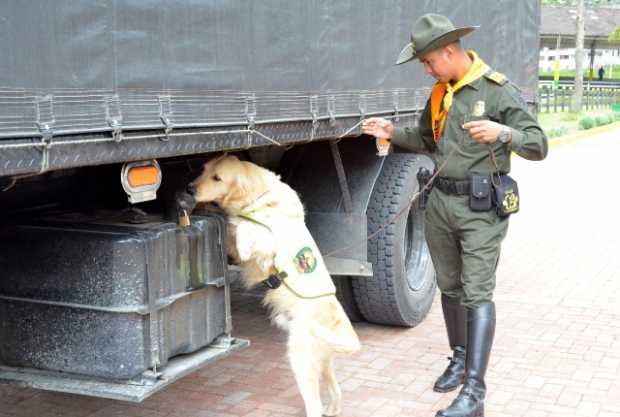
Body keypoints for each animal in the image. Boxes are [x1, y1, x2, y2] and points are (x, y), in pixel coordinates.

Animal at [188, 154, 364, 416]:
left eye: (217, 178)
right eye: (203, 169)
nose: (189, 188)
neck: (261, 198)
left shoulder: (268, 243)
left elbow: (245, 228)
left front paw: (241, 236)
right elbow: (235, 229)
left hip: (301, 362)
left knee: (314, 405)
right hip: (322, 363)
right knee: (336, 391)